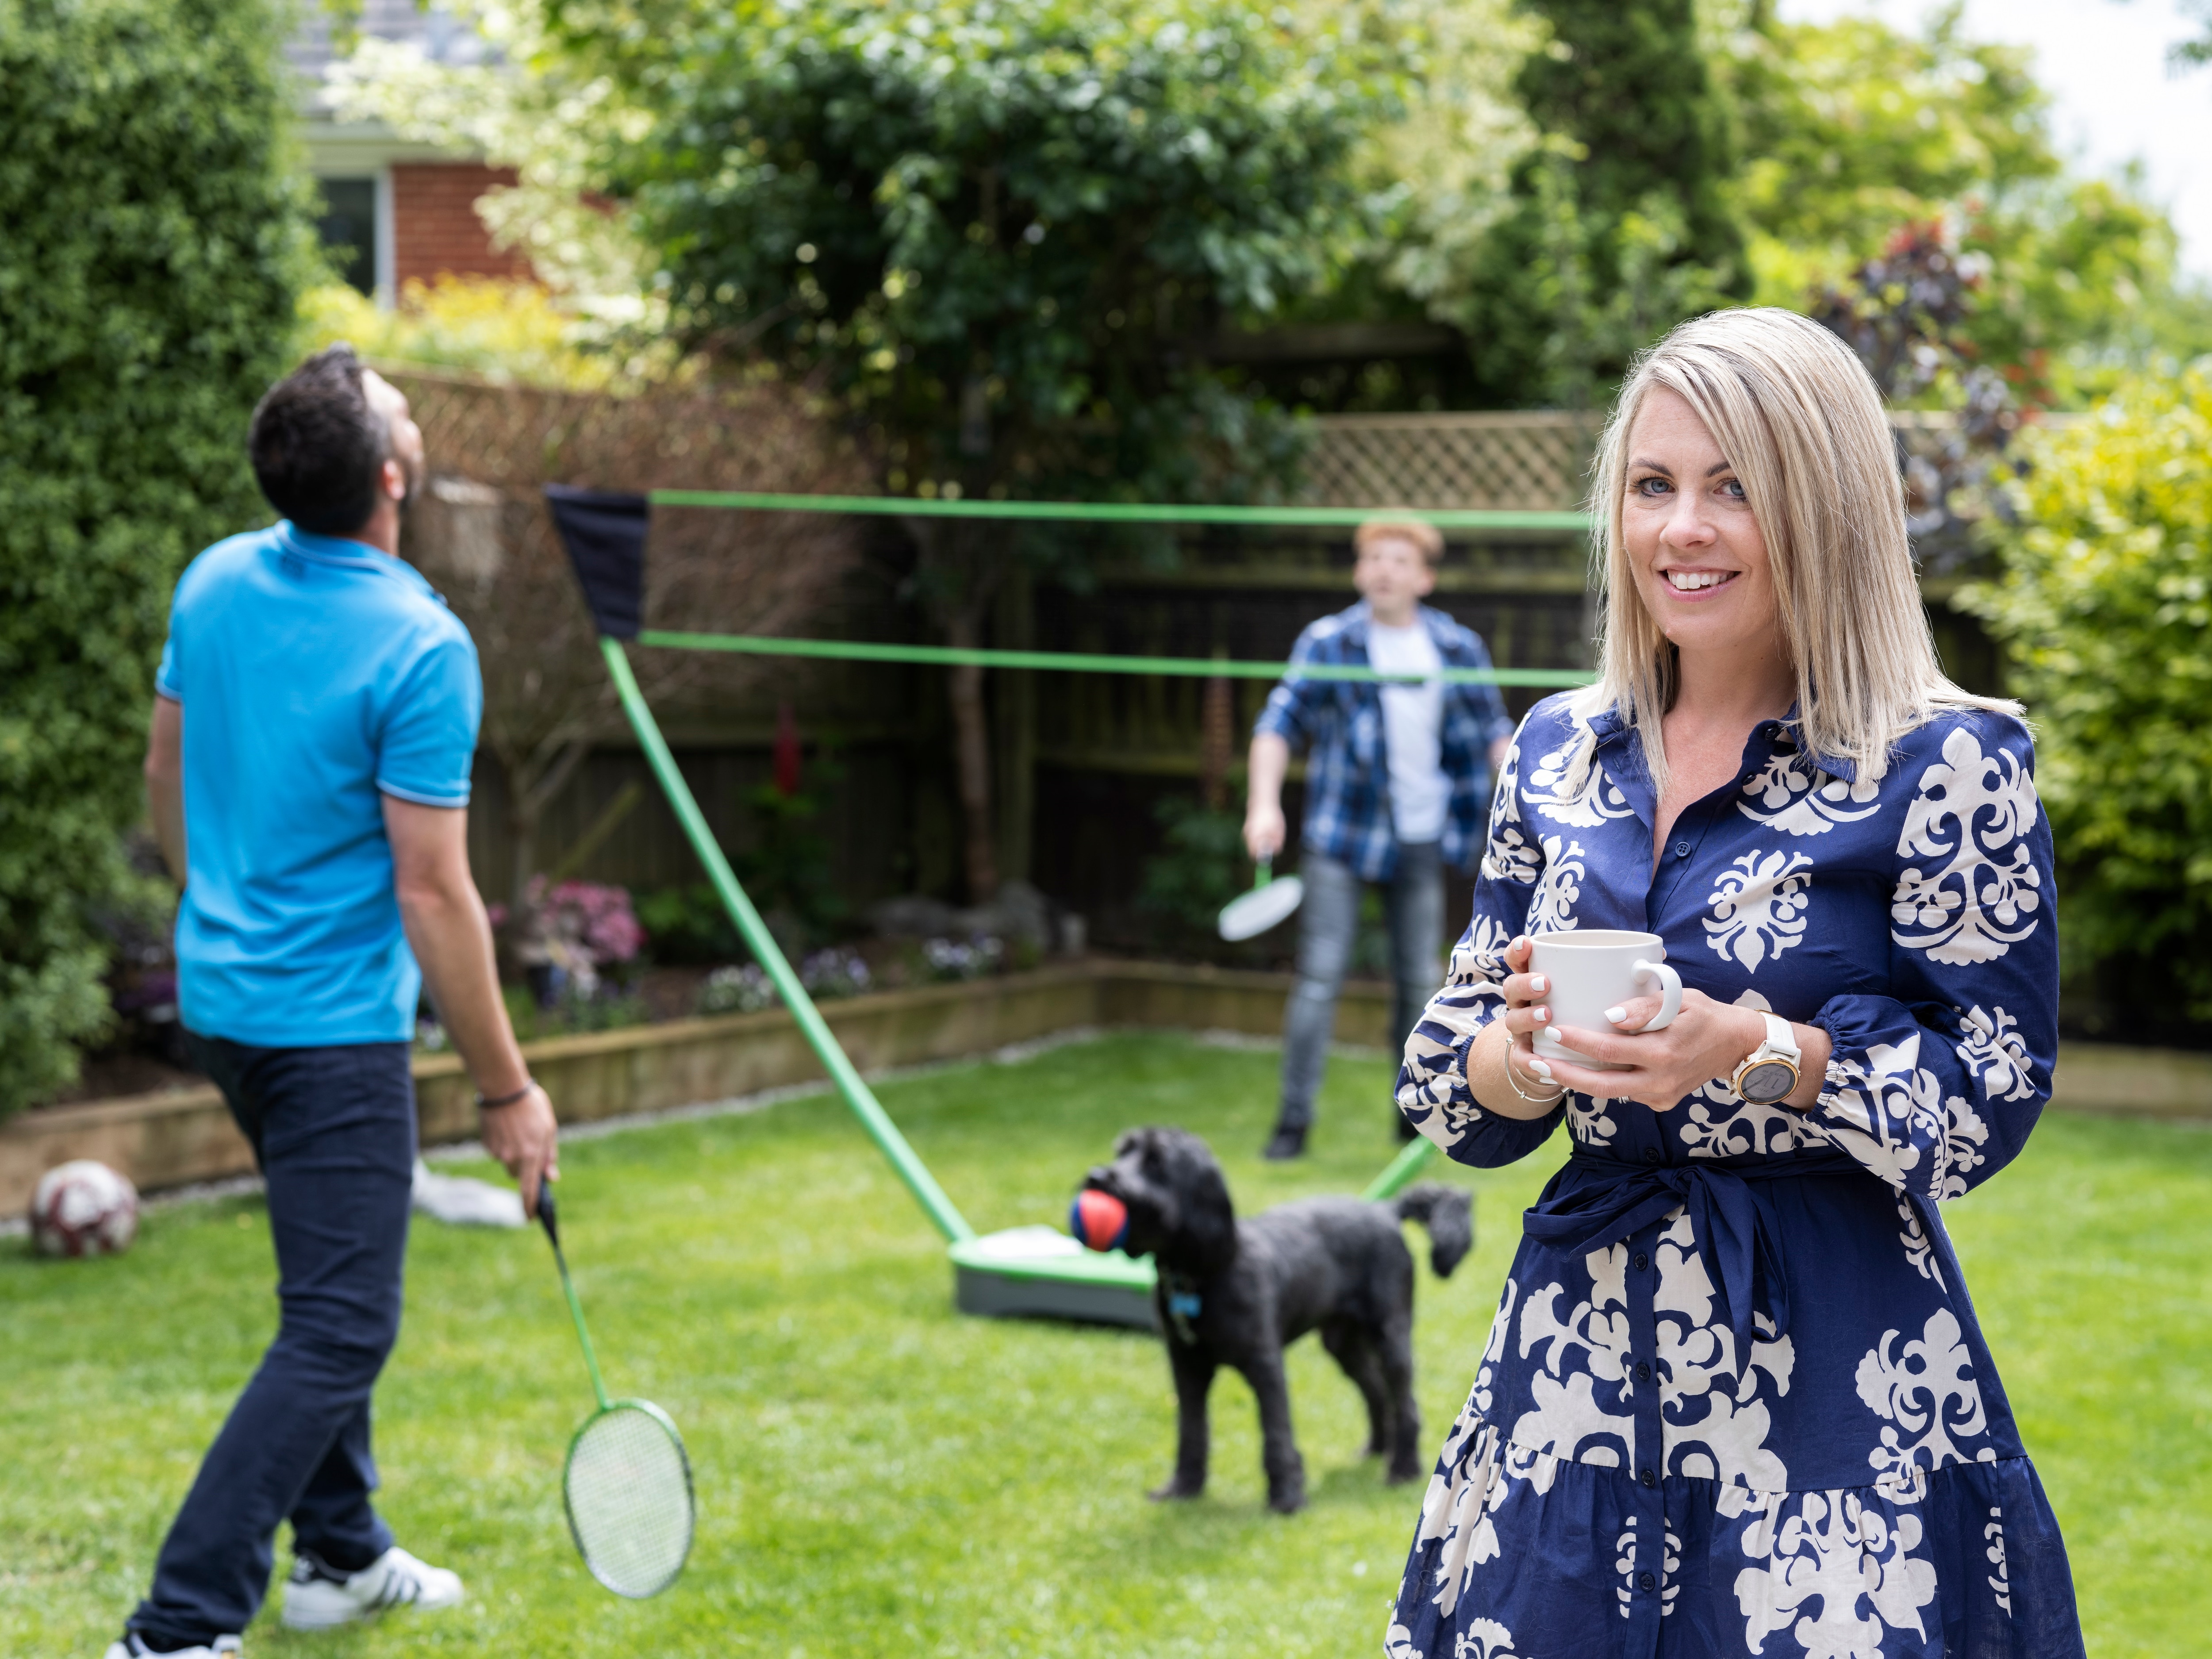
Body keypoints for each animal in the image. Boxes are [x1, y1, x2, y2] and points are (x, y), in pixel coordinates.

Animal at [1084, 1133, 1478, 1522]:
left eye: (1156, 1161)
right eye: (1122, 1152)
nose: (1097, 1178)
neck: (1202, 1276)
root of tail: (1385, 1211)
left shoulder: (1266, 1365)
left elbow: (1276, 1434)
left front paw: (1286, 1498)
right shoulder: (1187, 1366)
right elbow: (1191, 1431)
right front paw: (1183, 1488)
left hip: (1391, 1335)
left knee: (1405, 1403)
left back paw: (1403, 1469)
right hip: (1343, 1344)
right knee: (1376, 1392)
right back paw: (1377, 1449)